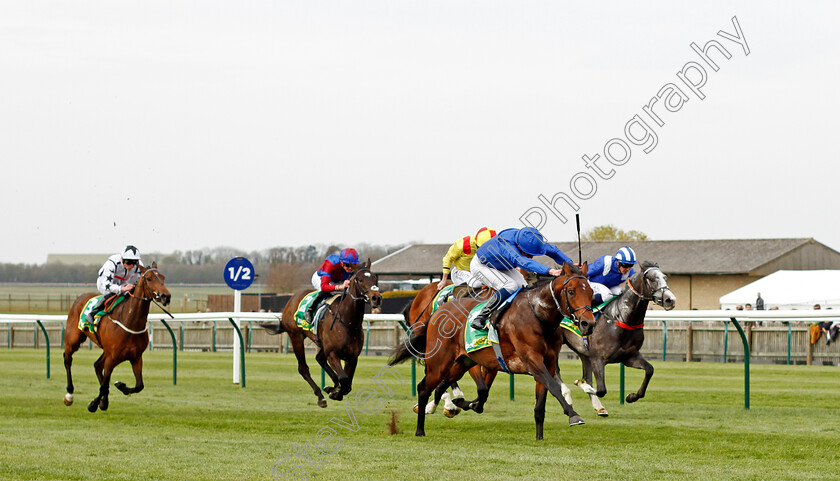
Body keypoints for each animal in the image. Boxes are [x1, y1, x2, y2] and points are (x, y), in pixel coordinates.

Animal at [64, 262, 174, 412]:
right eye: (149, 278)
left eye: (163, 277)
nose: (165, 296)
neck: (130, 321)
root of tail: (79, 298)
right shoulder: (112, 357)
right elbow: (104, 385)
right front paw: (93, 404)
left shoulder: (136, 357)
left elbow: (139, 385)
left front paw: (120, 386)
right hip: (74, 339)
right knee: (68, 359)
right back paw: (69, 394)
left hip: (107, 351)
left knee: (97, 365)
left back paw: (104, 400)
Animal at [260, 260, 382, 406]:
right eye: (360, 279)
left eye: (375, 278)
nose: (376, 298)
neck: (348, 322)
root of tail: (291, 299)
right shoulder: (333, 353)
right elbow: (344, 379)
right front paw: (335, 393)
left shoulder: (352, 357)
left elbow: (347, 384)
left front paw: (334, 391)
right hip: (296, 336)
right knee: (303, 368)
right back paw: (320, 396)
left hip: (321, 343)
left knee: (319, 358)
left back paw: (330, 387)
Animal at [390, 262, 592, 438]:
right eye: (571, 291)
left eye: (591, 292)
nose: (588, 323)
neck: (537, 315)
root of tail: (437, 312)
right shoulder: (532, 361)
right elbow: (553, 387)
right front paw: (574, 415)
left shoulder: (546, 363)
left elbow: (540, 403)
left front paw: (539, 437)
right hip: (439, 361)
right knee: (424, 387)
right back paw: (421, 428)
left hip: (461, 363)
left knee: (443, 384)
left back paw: (451, 404)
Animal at [556, 260, 676, 414]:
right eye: (651, 278)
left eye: (664, 277)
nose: (670, 300)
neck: (620, 318)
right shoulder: (598, 358)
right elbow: (601, 390)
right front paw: (581, 385)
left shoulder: (628, 356)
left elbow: (650, 370)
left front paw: (632, 396)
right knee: (556, 371)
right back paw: (567, 396)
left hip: (583, 353)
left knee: (586, 373)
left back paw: (599, 407)